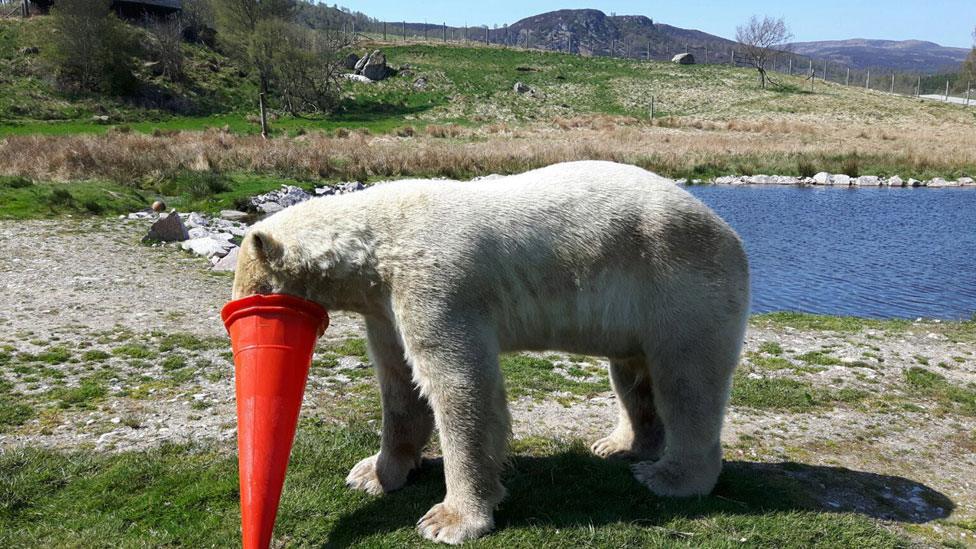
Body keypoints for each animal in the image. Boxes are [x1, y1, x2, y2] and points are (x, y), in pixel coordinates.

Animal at [233, 159, 752, 544]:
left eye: (249, 291)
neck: (380, 241)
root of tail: (731, 234)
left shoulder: (437, 286)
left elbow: (461, 387)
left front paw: (449, 520)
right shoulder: (384, 307)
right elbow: (399, 386)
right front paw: (374, 473)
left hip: (680, 285)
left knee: (686, 382)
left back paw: (671, 478)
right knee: (631, 375)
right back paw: (618, 444)